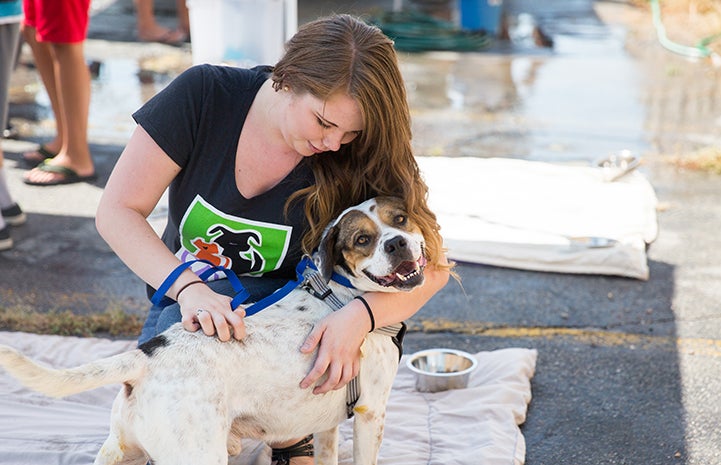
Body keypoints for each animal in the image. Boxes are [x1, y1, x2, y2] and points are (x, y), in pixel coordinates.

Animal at [0, 196, 428, 464]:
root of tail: (146, 355)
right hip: (198, 454)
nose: (397, 243)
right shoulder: (372, 413)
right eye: (363, 239)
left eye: (400, 219)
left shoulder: (327, 425)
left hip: (118, 451)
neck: (345, 294)